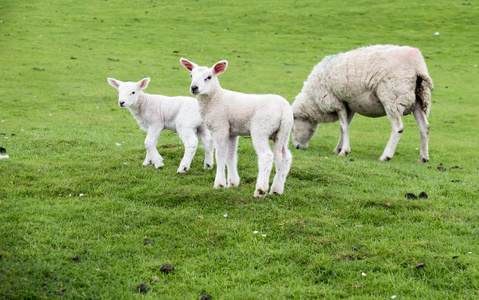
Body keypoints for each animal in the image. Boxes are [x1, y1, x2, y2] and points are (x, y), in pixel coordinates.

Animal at [179, 57, 292, 198]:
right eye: (191, 75)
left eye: (209, 77)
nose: (194, 88)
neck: (216, 98)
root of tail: (284, 109)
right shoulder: (232, 132)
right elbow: (231, 155)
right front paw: (232, 183)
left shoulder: (220, 127)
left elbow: (220, 155)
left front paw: (219, 184)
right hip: (283, 133)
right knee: (285, 157)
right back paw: (276, 189)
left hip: (261, 128)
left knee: (266, 156)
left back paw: (260, 190)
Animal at [292, 44, 436, 163]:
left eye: (292, 128)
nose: (296, 147)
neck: (313, 98)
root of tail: (417, 64)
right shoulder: (348, 105)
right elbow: (344, 127)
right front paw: (338, 149)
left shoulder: (337, 102)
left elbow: (344, 127)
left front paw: (344, 151)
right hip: (419, 98)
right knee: (424, 127)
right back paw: (423, 158)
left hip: (391, 96)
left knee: (398, 128)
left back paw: (385, 156)